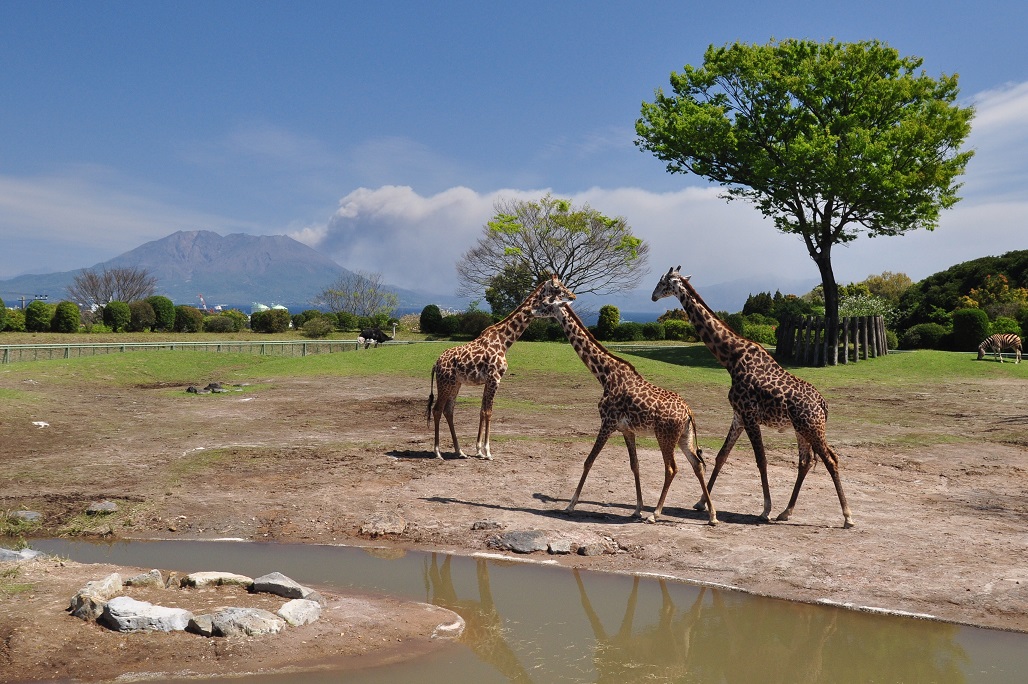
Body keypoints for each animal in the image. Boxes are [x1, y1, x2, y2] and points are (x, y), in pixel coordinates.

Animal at [421, 271, 575, 458]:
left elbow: (482, 411)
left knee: (448, 411)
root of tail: (436, 364)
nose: (572, 296)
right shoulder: (495, 378)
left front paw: (479, 450)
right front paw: (488, 452)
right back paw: (437, 452)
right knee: (437, 409)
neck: (504, 341)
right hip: (445, 383)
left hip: (455, 383)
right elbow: (489, 412)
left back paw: (460, 451)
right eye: (557, 287)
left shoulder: (488, 380)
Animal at [530, 296, 715, 524]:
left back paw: (655, 514)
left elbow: (589, 461)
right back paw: (712, 515)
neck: (604, 374)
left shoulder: (607, 422)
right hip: (684, 437)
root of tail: (689, 411)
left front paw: (570, 505)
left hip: (665, 436)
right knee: (697, 465)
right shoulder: (627, 430)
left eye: (547, 303)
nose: (532, 310)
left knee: (672, 468)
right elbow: (635, 465)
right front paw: (637, 509)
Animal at [653, 265, 855, 526]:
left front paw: (765, 509)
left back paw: (847, 516)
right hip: (801, 428)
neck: (730, 358)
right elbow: (721, 456)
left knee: (831, 459)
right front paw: (701, 503)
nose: (653, 296)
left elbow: (761, 460)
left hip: (812, 426)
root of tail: (823, 404)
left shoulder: (749, 415)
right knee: (805, 461)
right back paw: (786, 512)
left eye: (663, 282)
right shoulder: (738, 415)